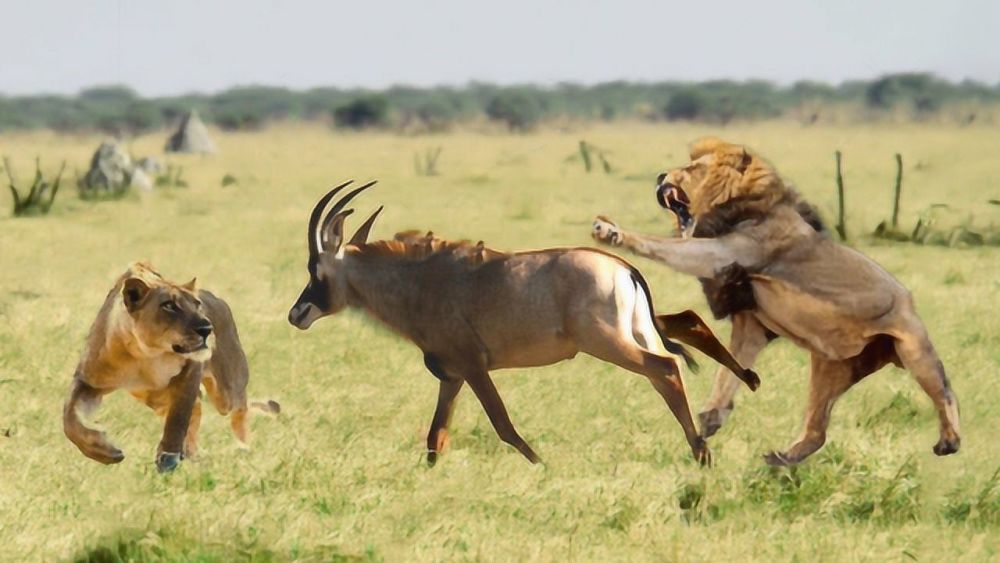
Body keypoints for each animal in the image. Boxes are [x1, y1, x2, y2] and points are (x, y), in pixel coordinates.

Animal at [65, 264, 278, 472]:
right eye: (168, 305)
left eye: (197, 304)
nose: (206, 329)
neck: (146, 353)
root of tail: (219, 300)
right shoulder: (88, 381)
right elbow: (70, 418)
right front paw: (102, 451)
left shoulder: (191, 369)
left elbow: (179, 416)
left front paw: (169, 457)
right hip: (156, 398)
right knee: (197, 409)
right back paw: (195, 453)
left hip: (227, 391)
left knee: (239, 407)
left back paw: (243, 448)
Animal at [286, 182, 752, 468]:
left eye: (316, 269)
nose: (296, 314)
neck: (424, 280)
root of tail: (622, 267)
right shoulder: (451, 376)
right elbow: (436, 437)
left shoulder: (473, 368)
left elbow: (502, 425)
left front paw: (543, 466)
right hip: (640, 333)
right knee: (684, 333)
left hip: (609, 344)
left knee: (666, 368)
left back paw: (702, 453)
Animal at [592, 139, 960, 464]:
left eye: (693, 168)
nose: (659, 175)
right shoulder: (750, 322)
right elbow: (729, 369)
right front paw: (712, 416)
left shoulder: (722, 253)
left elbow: (664, 246)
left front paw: (611, 232)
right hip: (829, 367)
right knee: (817, 432)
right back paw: (781, 459)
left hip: (914, 348)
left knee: (946, 393)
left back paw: (949, 441)